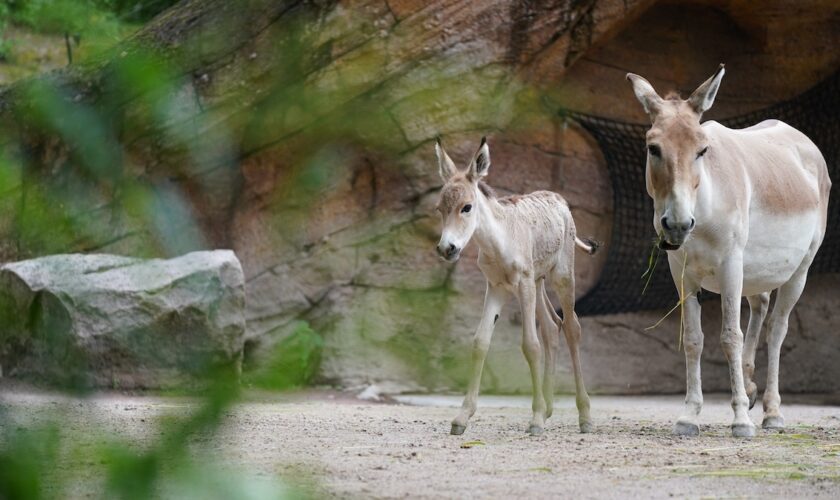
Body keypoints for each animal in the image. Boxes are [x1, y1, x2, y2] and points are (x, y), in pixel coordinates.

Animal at [434, 136, 596, 434]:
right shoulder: (496, 287)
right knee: (552, 326)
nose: (446, 249)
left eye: (466, 207)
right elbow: (480, 342)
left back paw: (585, 416)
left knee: (572, 328)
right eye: (440, 208)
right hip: (539, 281)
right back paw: (550, 408)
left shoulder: (522, 284)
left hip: (561, 276)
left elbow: (530, 345)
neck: (499, 240)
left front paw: (535, 420)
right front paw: (462, 417)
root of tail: (559, 199)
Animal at [628, 64, 832, 436]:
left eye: (702, 150)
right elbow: (693, 338)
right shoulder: (681, 272)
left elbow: (729, 336)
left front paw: (740, 419)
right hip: (755, 271)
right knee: (761, 305)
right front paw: (689, 415)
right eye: (653, 148)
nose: (677, 225)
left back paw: (772, 412)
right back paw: (751, 387)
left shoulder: (730, 265)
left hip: (799, 269)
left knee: (777, 329)